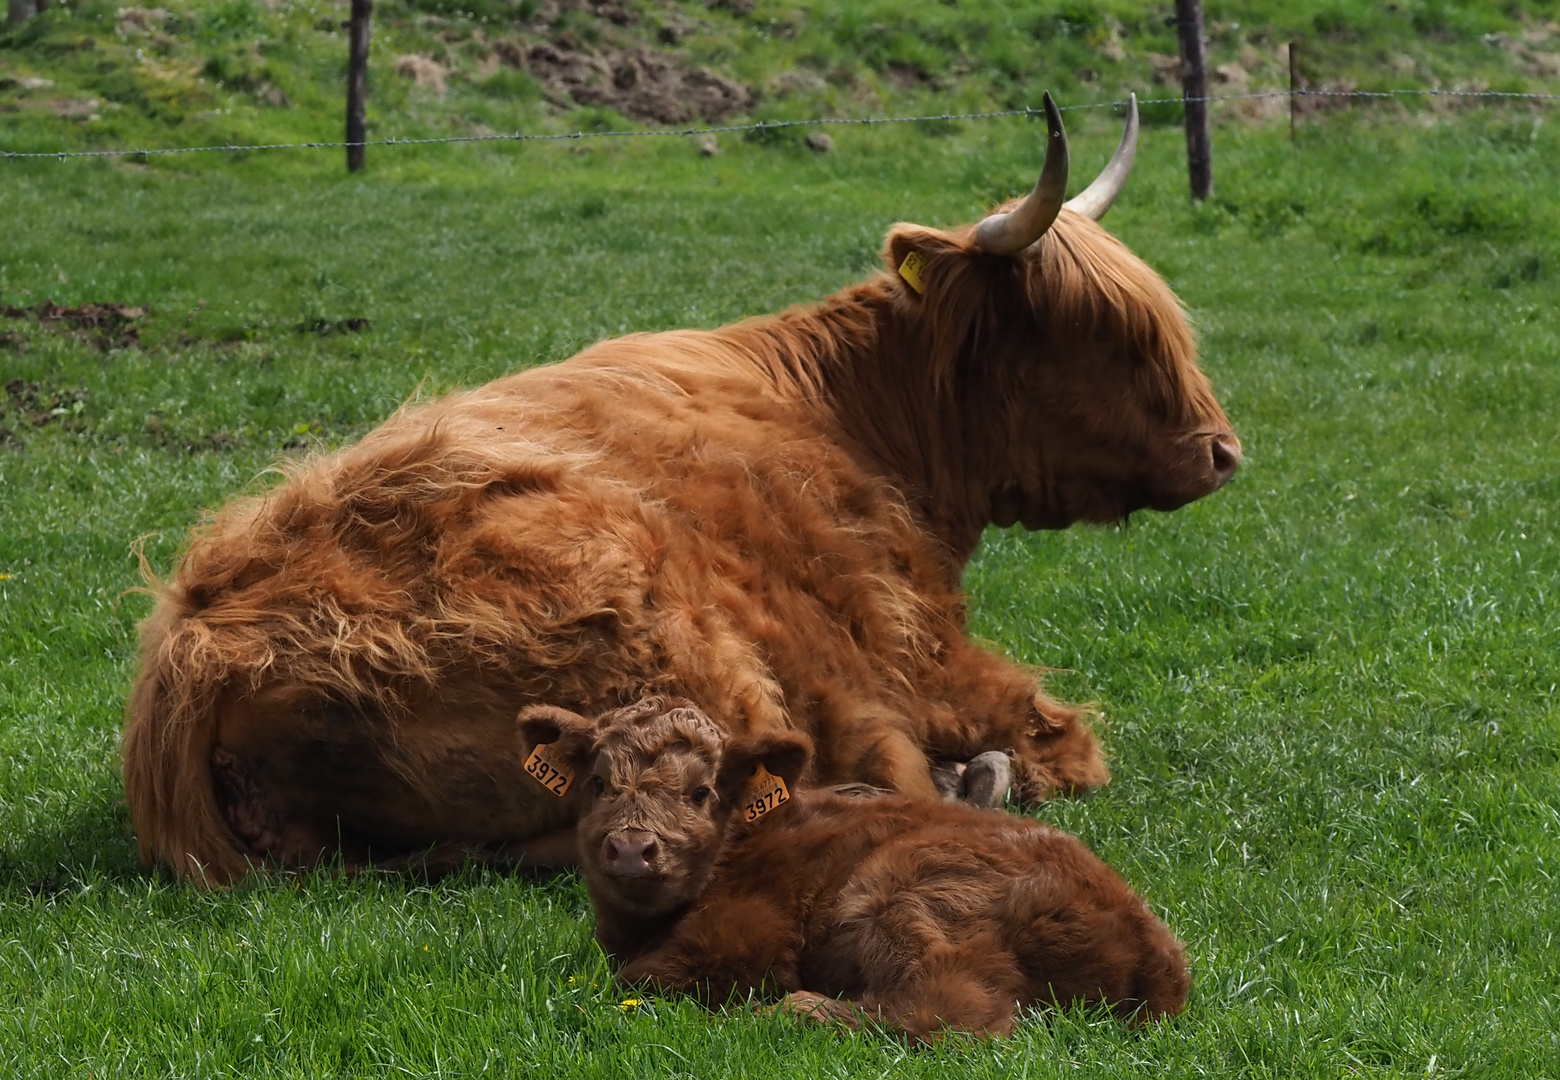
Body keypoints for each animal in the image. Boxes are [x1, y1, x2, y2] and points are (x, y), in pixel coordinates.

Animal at [124, 94, 1241, 886]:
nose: (1224, 452)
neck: (856, 417)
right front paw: (999, 763)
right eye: (1105, 335)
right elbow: (1065, 738)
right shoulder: (919, 658)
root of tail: (199, 646)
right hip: (683, 648)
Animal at [517, 696, 1185, 1042]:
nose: (632, 848)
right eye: (598, 783)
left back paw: (795, 1011)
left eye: (702, 792)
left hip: (902, 892)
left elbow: (634, 982)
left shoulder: (741, 941)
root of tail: (1153, 943)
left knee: (956, 1013)